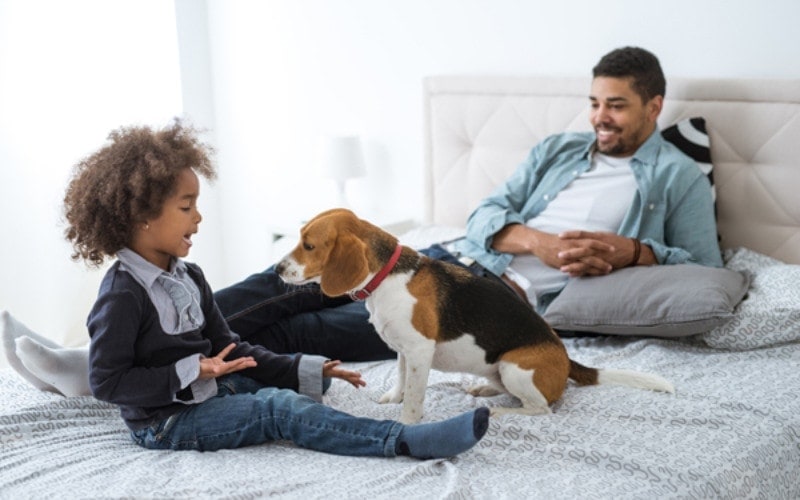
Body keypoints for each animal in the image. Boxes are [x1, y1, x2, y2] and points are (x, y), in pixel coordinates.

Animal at [276, 209, 676, 424]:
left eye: (309, 245)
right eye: (297, 238)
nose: (278, 269)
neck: (386, 276)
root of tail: (566, 360)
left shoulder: (420, 351)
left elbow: (415, 394)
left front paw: (407, 422)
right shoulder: (403, 350)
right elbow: (402, 378)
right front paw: (393, 397)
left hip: (516, 367)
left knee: (541, 409)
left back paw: (501, 413)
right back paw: (485, 388)